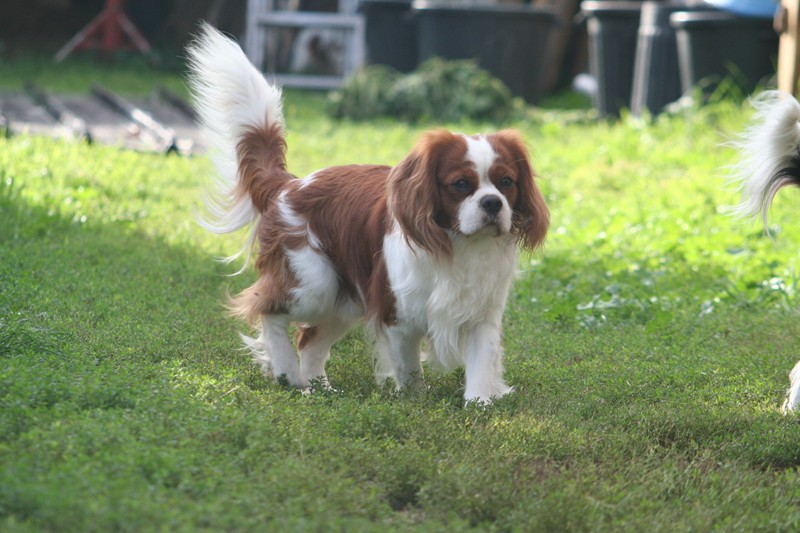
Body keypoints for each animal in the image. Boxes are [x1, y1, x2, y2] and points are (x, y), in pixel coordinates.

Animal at [188, 23, 552, 400]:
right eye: (462, 184)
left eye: (507, 182)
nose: (493, 203)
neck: (459, 245)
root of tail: (289, 185)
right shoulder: (396, 312)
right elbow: (408, 366)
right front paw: (414, 399)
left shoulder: (482, 314)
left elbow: (481, 361)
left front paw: (479, 404)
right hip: (314, 283)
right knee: (267, 308)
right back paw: (288, 373)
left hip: (343, 297)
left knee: (309, 340)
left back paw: (320, 388)